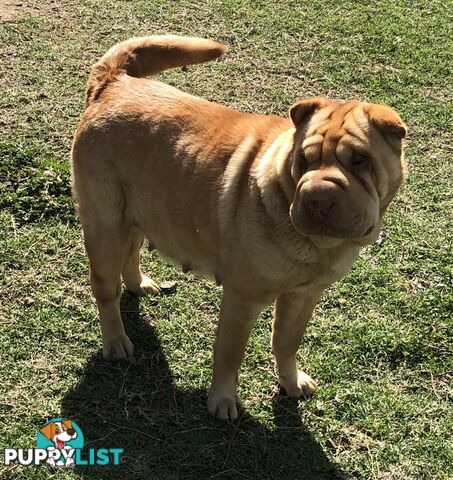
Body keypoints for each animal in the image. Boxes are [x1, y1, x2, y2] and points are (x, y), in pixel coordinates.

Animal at [71, 35, 406, 420]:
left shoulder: (304, 295)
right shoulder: (242, 297)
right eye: (305, 159)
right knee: (105, 289)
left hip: (141, 210)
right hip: (105, 225)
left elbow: (286, 342)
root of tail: (113, 82)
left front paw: (290, 381)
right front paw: (223, 401)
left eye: (360, 160)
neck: (316, 245)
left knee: (133, 253)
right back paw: (116, 342)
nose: (317, 198)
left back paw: (140, 285)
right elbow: (230, 353)